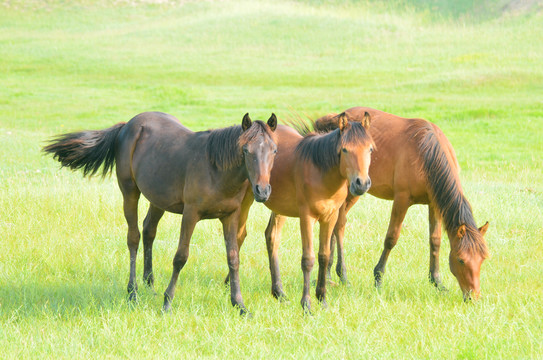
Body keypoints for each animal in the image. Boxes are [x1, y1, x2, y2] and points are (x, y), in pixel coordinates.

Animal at [43, 111, 278, 314]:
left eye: (274, 150)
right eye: (246, 150)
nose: (263, 191)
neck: (216, 170)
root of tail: (127, 126)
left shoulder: (230, 216)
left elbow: (233, 258)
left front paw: (239, 305)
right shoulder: (190, 214)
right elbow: (181, 257)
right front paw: (167, 303)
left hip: (158, 199)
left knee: (149, 231)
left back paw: (149, 283)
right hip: (129, 192)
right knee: (134, 238)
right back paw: (133, 292)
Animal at [232, 113, 376, 312]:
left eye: (369, 149)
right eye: (345, 150)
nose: (361, 183)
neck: (321, 172)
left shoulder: (330, 218)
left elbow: (324, 256)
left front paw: (322, 299)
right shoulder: (307, 217)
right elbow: (308, 259)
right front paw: (306, 304)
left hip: (280, 208)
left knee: (272, 237)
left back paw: (279, 292)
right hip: (247, 201)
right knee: (239, 236)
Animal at [312, 107, 490, 300]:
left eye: (482, 259)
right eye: (461, 260)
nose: (473, 297)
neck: (425, 153)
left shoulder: (434, 204)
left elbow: (435, 240)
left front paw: (437, 281)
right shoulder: (402, 199)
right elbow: (391, 238)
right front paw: (378, 278)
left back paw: (329, 274)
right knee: (339, 226)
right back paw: (341, 275)